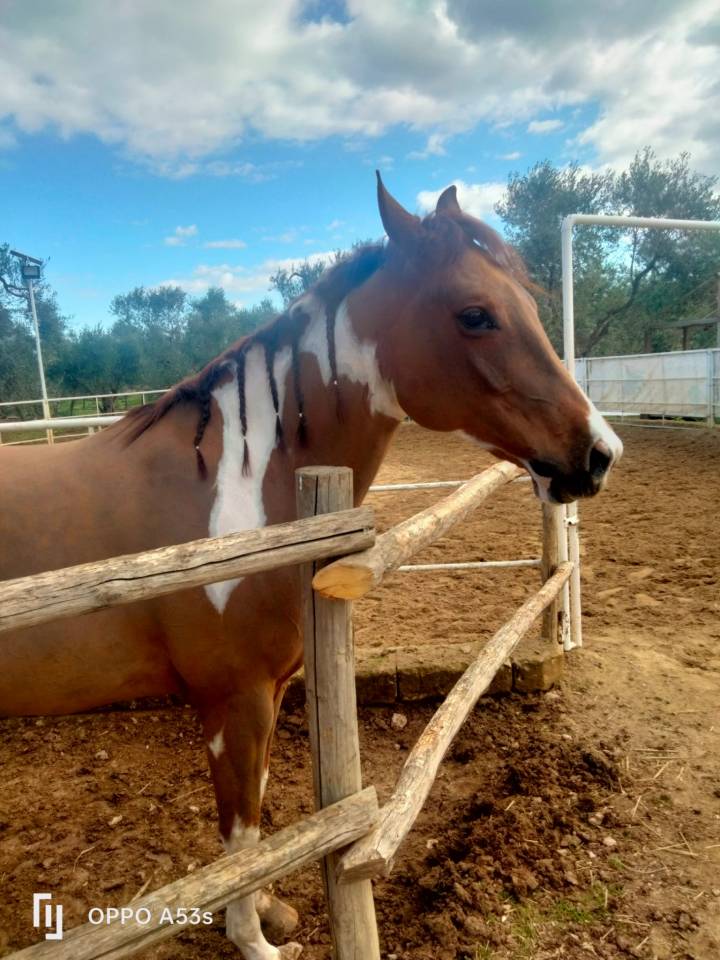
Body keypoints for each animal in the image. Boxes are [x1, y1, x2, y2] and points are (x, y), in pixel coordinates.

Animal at [0, 176, 622, 959]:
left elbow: (258, 820)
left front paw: (268, 912)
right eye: (475, 314)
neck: (236, 490)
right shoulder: (232, 699)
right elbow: (240, 832)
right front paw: (255, 940)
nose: (598, 454)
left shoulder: (267, 692)